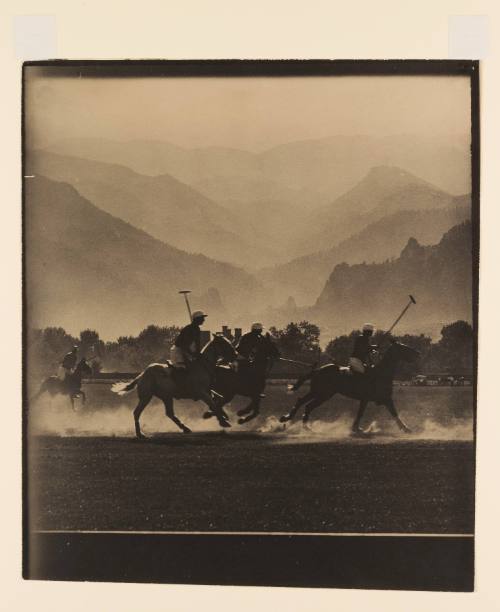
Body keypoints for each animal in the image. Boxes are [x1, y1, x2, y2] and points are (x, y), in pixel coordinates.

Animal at [112, 334, 240, 440]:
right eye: (224, 344)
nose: (236, 355)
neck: (203, 366)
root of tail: (142, 375)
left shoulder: (207, 391)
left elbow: (217, 400)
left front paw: (223, 416)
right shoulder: (201, 392)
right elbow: (213, 404)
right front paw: (223, 421)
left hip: (166, 397)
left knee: (170, 413)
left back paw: (185, 428)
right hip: (146, 397)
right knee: (137, 412)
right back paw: (140, 434)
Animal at [280, 340, 420, 436]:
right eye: (403, 347)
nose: (418, 353)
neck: (381, 373)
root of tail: (317, 370)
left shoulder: (381, 399)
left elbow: (391, 413)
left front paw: (406, 429)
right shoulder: (376, 398)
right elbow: (388, 413)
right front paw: (406, 429)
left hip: (319, 392)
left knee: (303, 402)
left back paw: (294, 421)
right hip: (323, 393)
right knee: (307, 405)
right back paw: (301, 425)